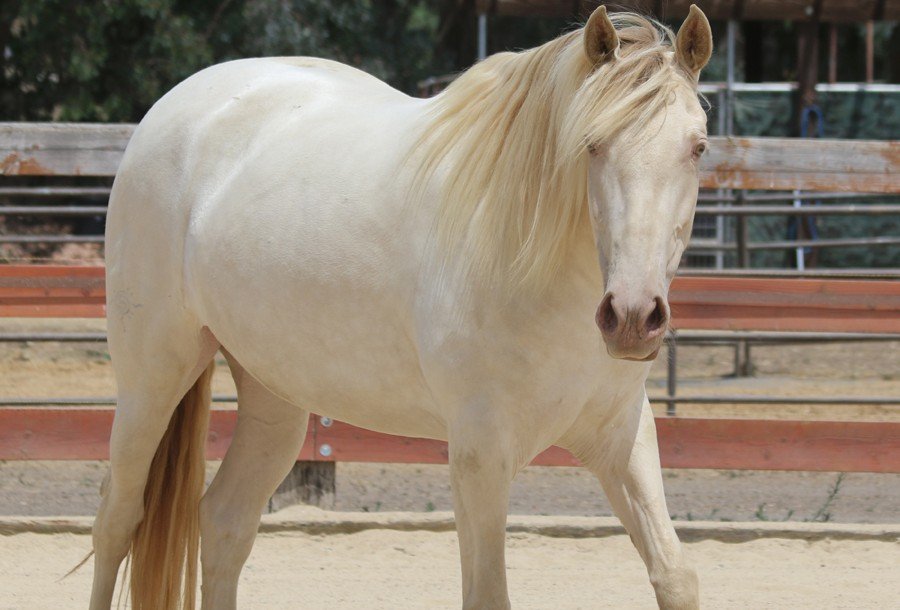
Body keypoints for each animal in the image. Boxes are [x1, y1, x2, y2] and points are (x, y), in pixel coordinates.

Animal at [89, 5, 713, 609]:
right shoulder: (480, 454)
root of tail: (179, 103)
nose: (631, 317)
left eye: (698, 147)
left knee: (224, 523)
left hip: (273, 398)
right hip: (152, 380)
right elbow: (488, 595)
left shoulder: (622, 438)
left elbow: (676, 575)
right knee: (116, 520)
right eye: (591, 144)